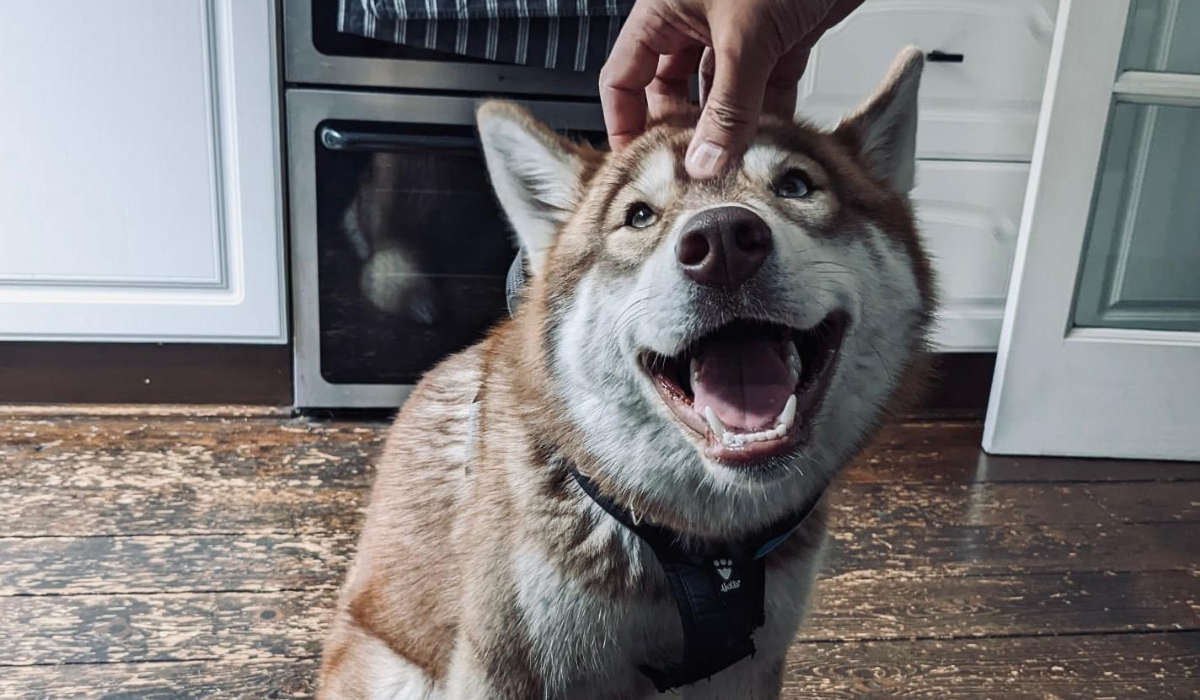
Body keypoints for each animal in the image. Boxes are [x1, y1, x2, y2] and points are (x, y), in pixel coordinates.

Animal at [314, 48, 931, 700]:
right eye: (638, 216)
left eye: (795, 185)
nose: (721, 241)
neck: (701, 547)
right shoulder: (508, 667)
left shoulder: (750, 666)